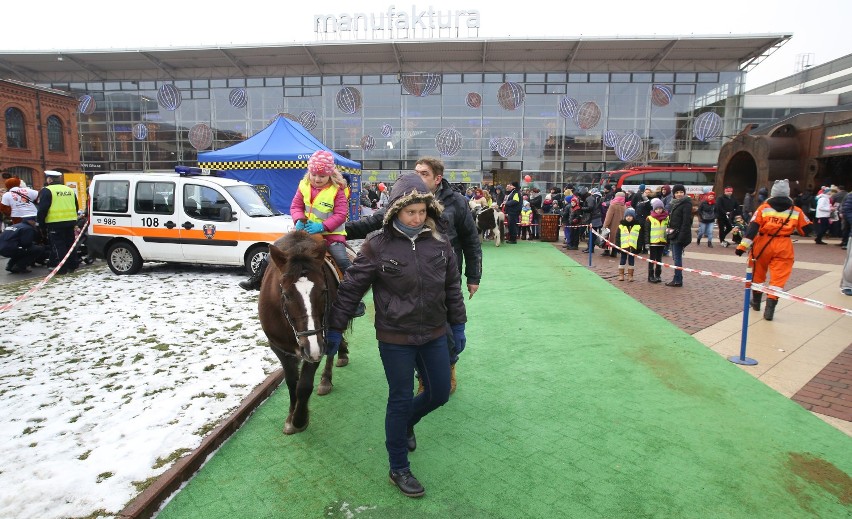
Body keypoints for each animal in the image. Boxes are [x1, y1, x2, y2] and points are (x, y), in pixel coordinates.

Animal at [262, 232, 352, 434]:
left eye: (324, 291)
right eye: (286, 295)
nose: (312, 348)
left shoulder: (319, 343)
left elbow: (303, 385)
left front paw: (299, 420)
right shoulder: (280, 348)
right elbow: (291, 382)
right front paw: (291, 416)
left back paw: (327, 378)